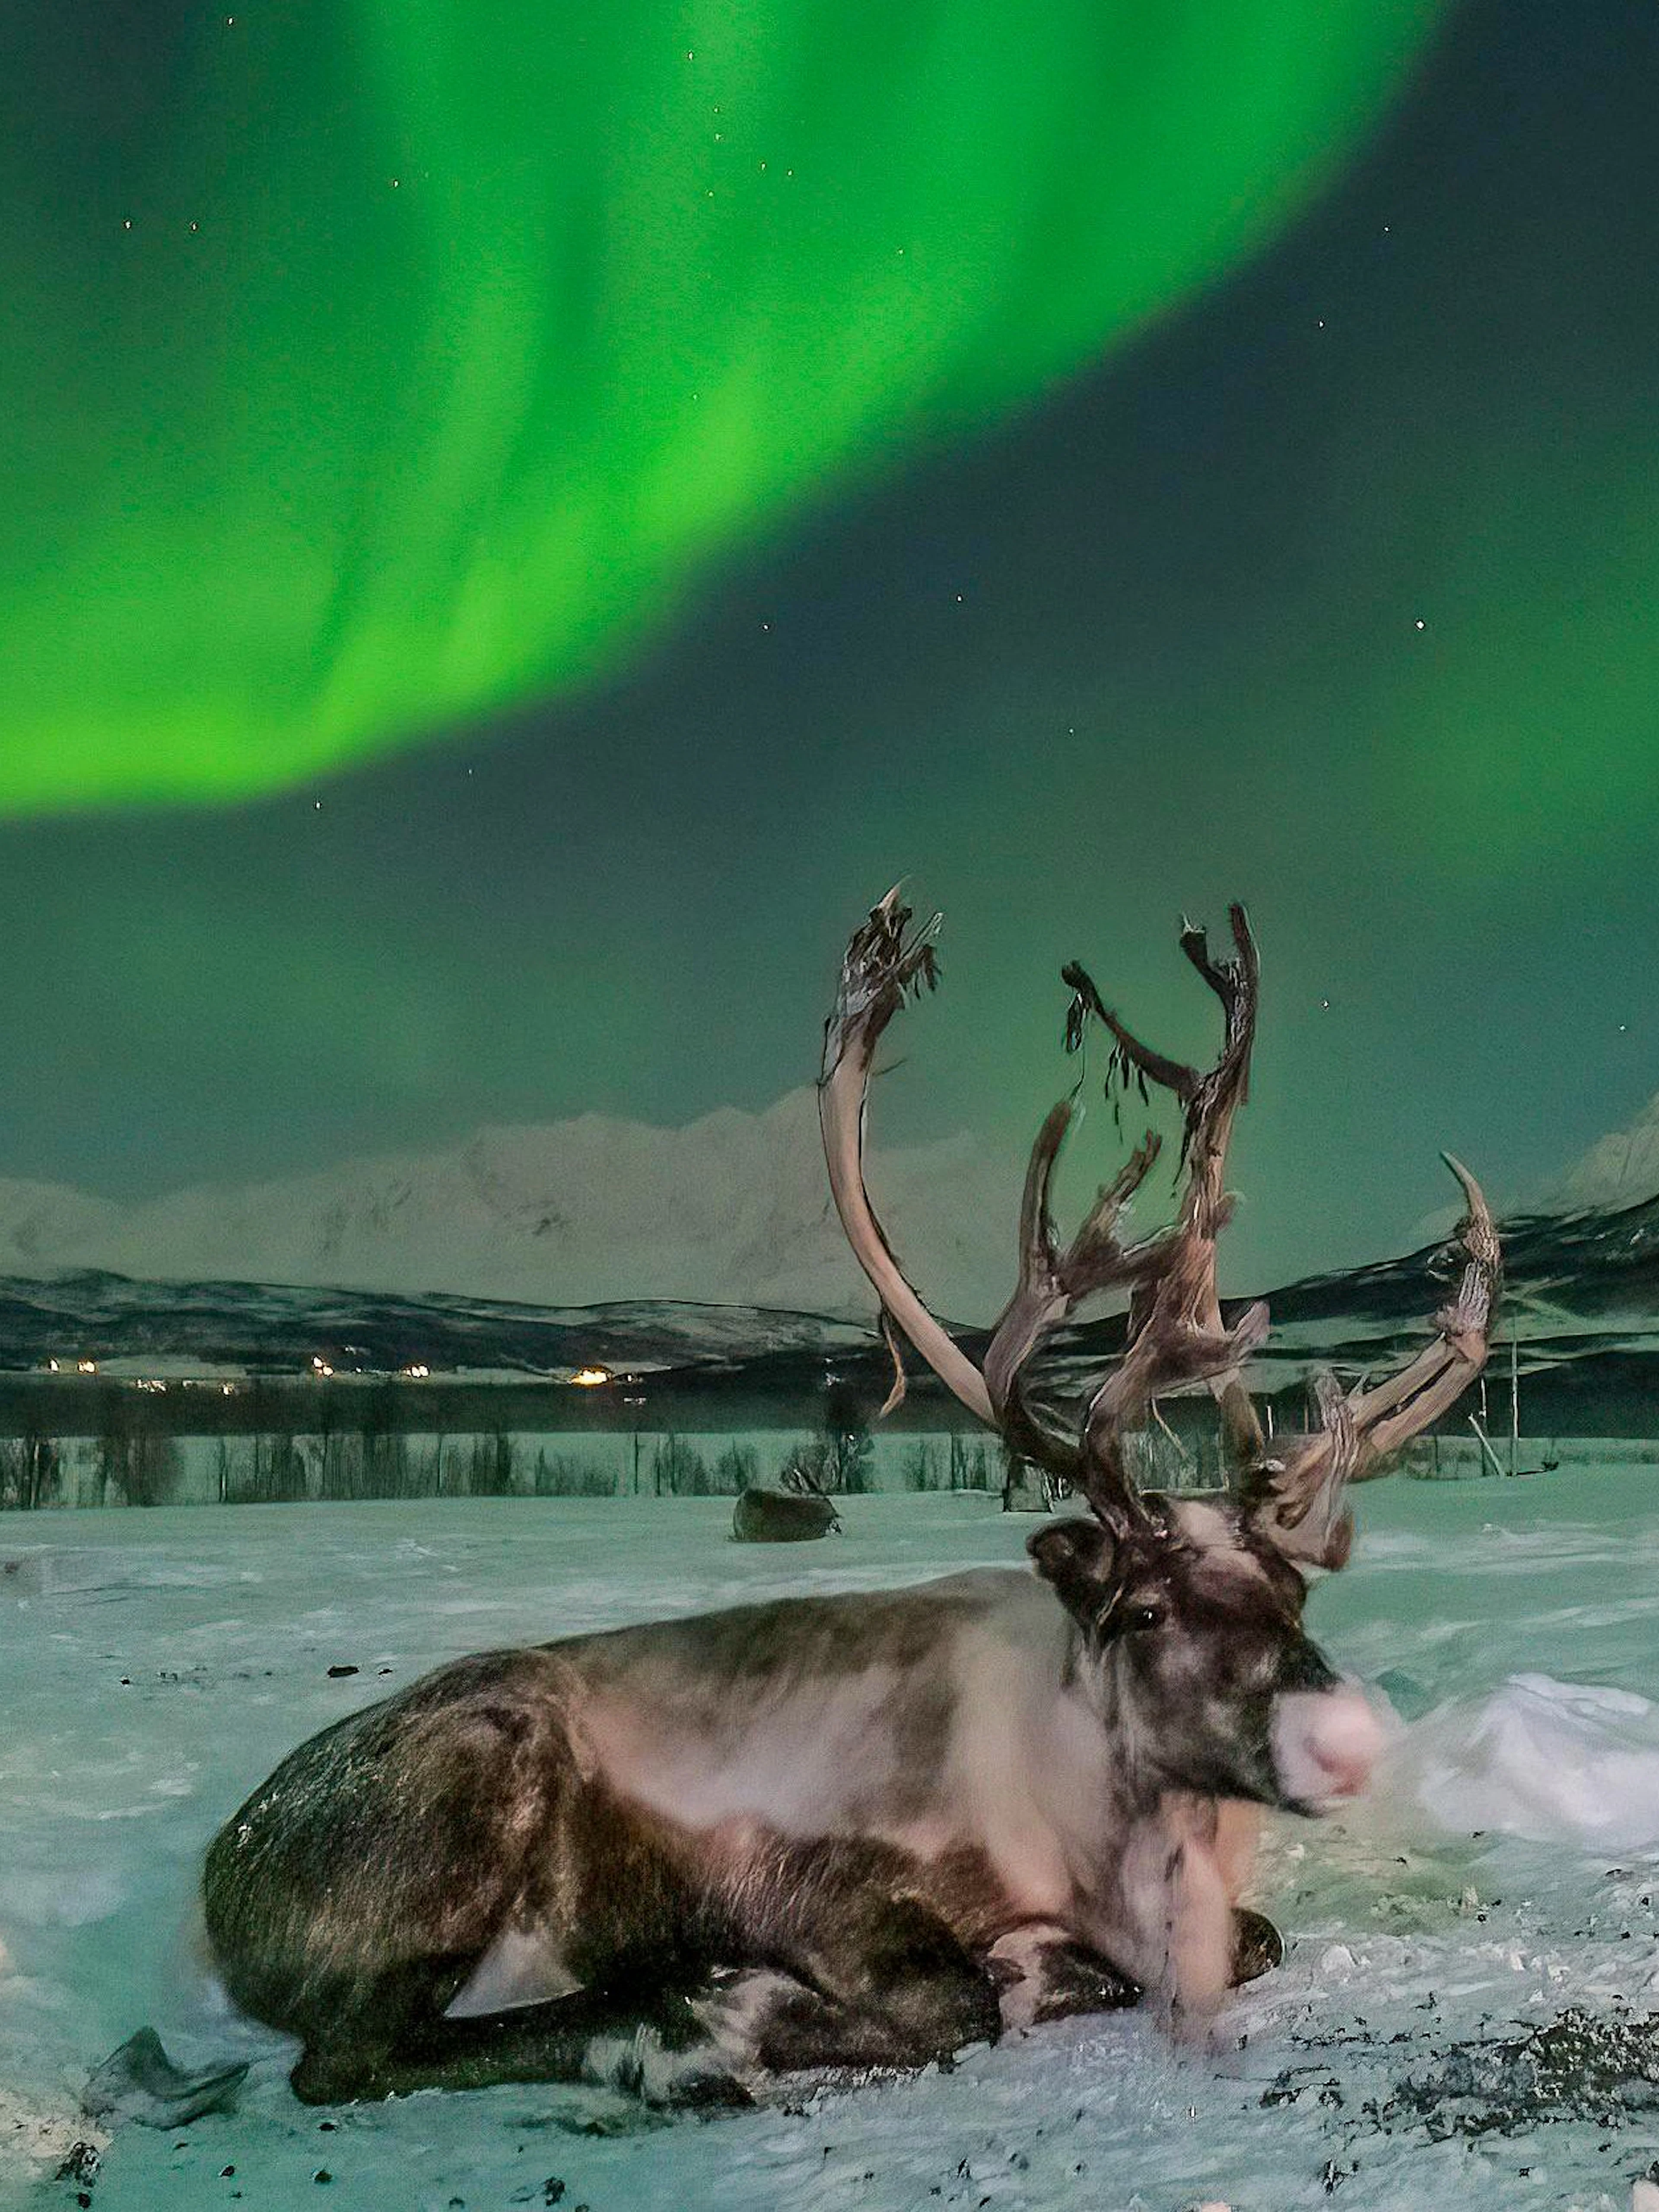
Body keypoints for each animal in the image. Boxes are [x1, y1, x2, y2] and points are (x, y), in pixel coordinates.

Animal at [88, 892, 1499, 2125]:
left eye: (1293, 1588)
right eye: (1142, 1606)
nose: (1343, 1733)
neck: (1085, 1813)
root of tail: (220, 1870)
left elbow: (1249, 1937)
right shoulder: (812, 1879)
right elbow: (958, 1997)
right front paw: (786, 1999)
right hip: (471, 1797)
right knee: (351, 2052)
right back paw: (677, 2025)